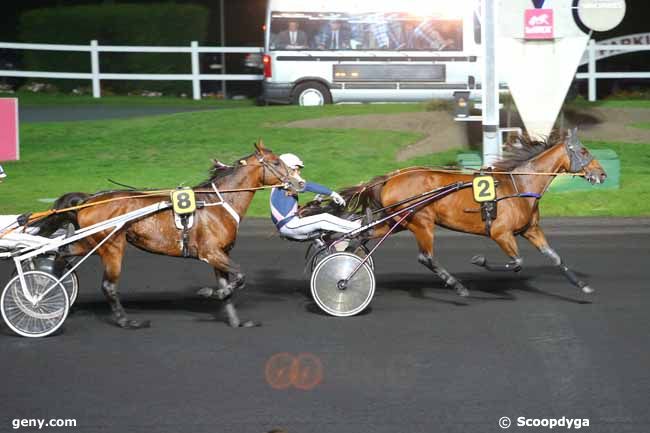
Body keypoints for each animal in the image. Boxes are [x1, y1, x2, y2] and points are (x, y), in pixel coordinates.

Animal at [38, 141, 296, 328]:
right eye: (276, 162)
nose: (298, 183)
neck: (219, 203)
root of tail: (88, 199)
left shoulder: (220, 254)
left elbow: (230, 286)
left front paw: (236, 321)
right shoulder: (210, 252)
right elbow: (240, 276)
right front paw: (209, 292)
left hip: (91, 242)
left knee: (63, 253)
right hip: (111, 246)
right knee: (108, 286)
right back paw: (126, 321)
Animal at [336, 128, 604, 296]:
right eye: (583, 151)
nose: (602, 174)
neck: (519, 186)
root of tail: (391, 177)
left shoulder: (530, 230)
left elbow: (556, 258)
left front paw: (583, 286)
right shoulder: (500, 233)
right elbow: (517, 262)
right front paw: (480, 261)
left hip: (398, 222)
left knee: (361, 235)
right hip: (421, 221)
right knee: (426, 257)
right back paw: (457, 286)